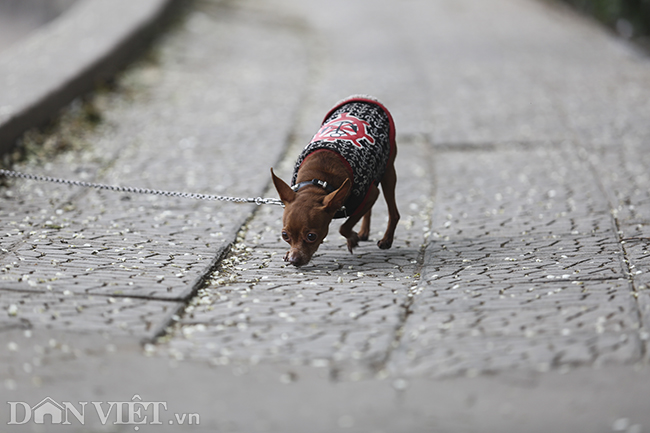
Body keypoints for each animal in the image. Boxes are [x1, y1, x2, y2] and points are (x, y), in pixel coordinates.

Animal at [270, 95, 400, 266]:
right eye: (285, 235)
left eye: (311, 236)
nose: (294, 260)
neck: (318, 181)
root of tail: (365, 98)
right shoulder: (368, 193)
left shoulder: (372, 193)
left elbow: (344, 227)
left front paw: (352, 239)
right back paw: (364, 232)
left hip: (388, 171)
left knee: (393, 212)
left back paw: (386, 240)